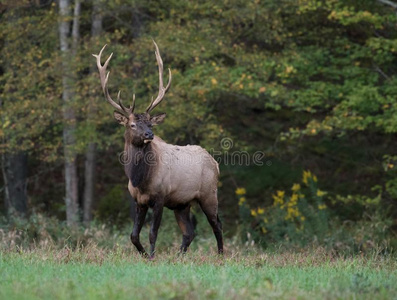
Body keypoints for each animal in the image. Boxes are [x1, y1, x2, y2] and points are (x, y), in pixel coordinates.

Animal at [93, 41, 223, 256]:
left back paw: (221, 255)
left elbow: (153, 233)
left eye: (150, 124)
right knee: (189, 232)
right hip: (182, 204)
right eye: (132, 125)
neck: (140, 179)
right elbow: (133, 235)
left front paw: (152, 256)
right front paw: (144, 255)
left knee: (217, 224)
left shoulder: (160, 197)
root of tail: (215, 163)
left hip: (209, 194)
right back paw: (179, 255)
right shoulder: (139, 200)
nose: (149, 135)